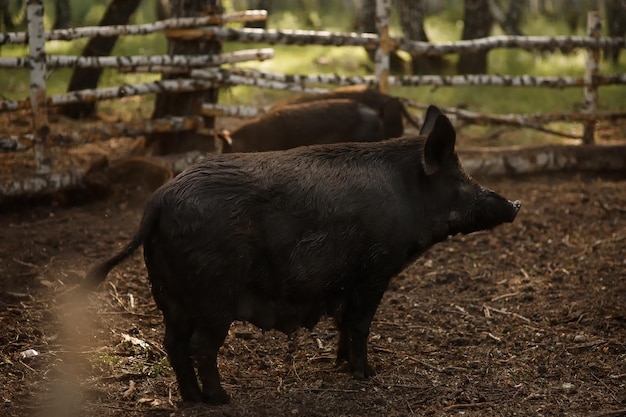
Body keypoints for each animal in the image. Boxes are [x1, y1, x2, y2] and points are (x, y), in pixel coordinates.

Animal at [85, 105, 520, 404]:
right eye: (461, 179)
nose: (514, 204)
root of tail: (156, 202)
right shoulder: (374, 270)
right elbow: (360, 324)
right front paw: (368, 375)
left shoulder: (348, 281)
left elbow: (343, 323)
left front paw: (342, 367)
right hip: (214, 291)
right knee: (200, 346)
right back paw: (220, 400)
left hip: (169, 295)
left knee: (173, 344)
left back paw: (192, 400)